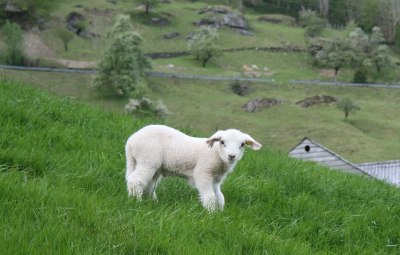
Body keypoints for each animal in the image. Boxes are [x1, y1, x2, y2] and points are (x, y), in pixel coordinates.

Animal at [125, 125, 262, 211]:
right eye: (222, 142)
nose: (232, 156)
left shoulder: (216, 179)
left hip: (151, 166)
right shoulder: (203, 172)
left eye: (242, 144)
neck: (217, 155)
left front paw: (220, 213)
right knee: (136, 180)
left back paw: (152, 202)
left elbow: (220, 197)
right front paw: (210, 213)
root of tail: (131, 141)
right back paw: (136, 201)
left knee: (148, 185)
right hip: (147, 159)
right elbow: (210, 197)